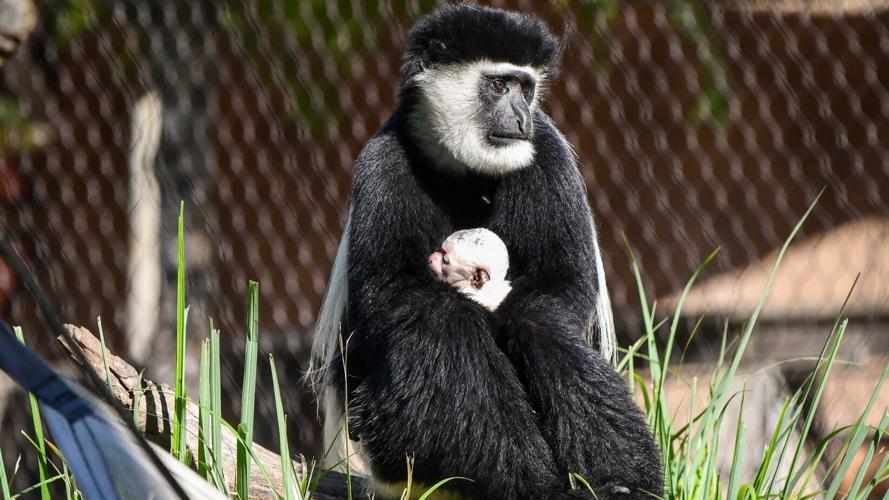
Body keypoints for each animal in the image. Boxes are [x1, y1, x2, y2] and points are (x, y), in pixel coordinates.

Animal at [310, 4, 662, 499]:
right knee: (442, 333)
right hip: (381, 435)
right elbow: (390, 292)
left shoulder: (545, 151)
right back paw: (521, 476)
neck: (464, 166)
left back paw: (621, 484)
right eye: (497, 85)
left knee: (547, 331)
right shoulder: (383, 162)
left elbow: (561, 283)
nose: (520, 116)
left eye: (526, 88)